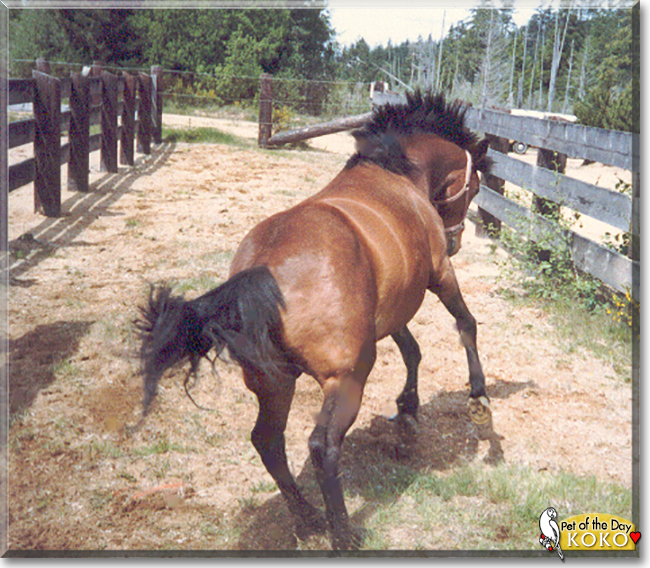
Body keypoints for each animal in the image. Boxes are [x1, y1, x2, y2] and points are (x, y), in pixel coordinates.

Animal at [135, 91, 492, 550]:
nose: (456, 239)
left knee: (268, 441)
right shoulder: (439, 274)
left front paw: (409, 408)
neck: (397, 172)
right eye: (475, 187)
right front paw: (478, 397)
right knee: (322, 446)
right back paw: (343, 532)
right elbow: (465, 324)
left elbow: (412, 350)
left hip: (274, 382)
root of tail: (262, 271)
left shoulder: (391, 306)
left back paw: (306, 518)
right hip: (347, 376)